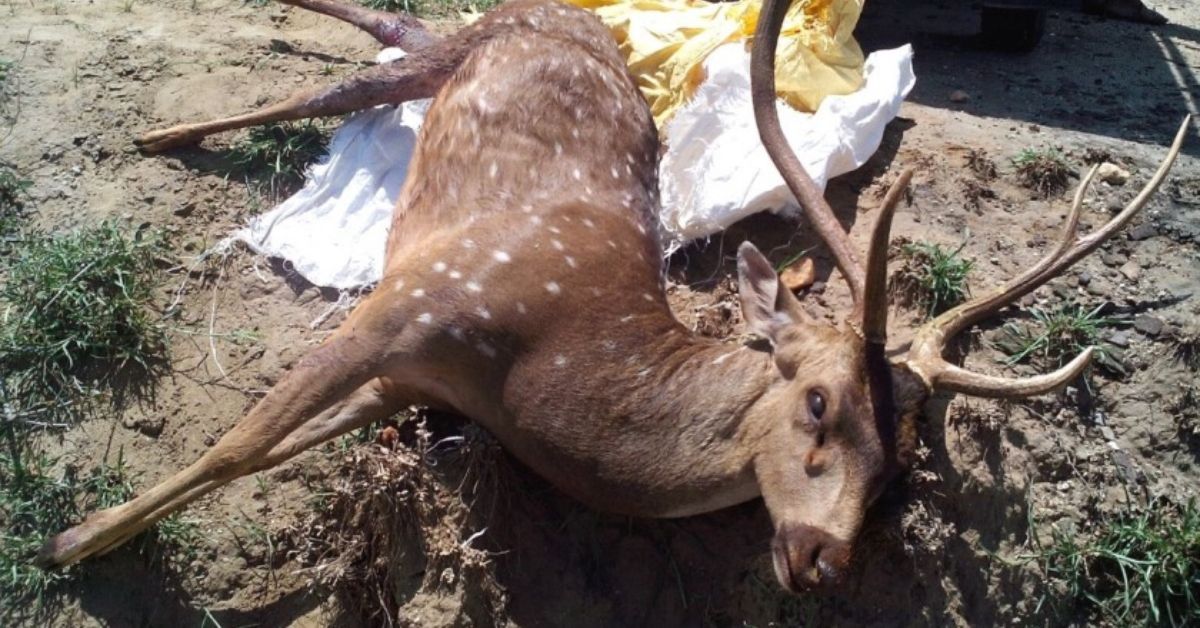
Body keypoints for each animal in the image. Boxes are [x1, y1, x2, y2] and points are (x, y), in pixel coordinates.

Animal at [37, 0, 1188, 595]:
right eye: (819, 402)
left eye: (904, 469)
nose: (822, 557)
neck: (531, 369)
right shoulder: (412, 302)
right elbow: (236, 447)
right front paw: (74, 544)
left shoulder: (416, 383)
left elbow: (276, 447)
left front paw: (81, 538)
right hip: (460, 49)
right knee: (349, 75)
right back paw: (156, 134)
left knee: (387, 31)